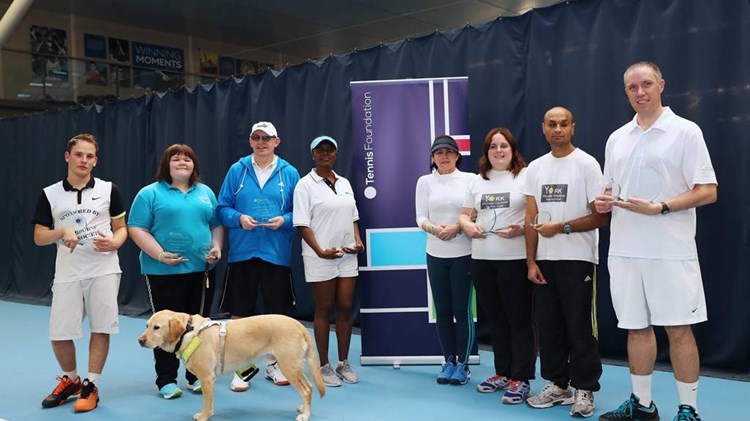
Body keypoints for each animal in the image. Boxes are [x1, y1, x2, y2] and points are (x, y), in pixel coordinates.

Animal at [139, 308, 326, 420]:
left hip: (289, 366)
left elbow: (207, 402)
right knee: (308, 388)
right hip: (295, 368)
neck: (188, 331)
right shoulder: (209, 380)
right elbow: (210, 400)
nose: (140, 340)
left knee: (306, 390)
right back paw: (303, 409)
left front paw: (204, 416)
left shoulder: (207, 378)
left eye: (157, 327)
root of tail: (299, 325)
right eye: (147, 325)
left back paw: (305, 415)